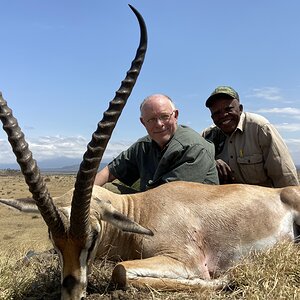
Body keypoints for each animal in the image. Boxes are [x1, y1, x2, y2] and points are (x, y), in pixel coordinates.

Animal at [0, 4, 300, 300]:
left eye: (93, 236)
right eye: (54, 240)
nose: (72, 292)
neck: (140, 210)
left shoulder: (186, 261)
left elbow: (120, 270)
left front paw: (222, 280)